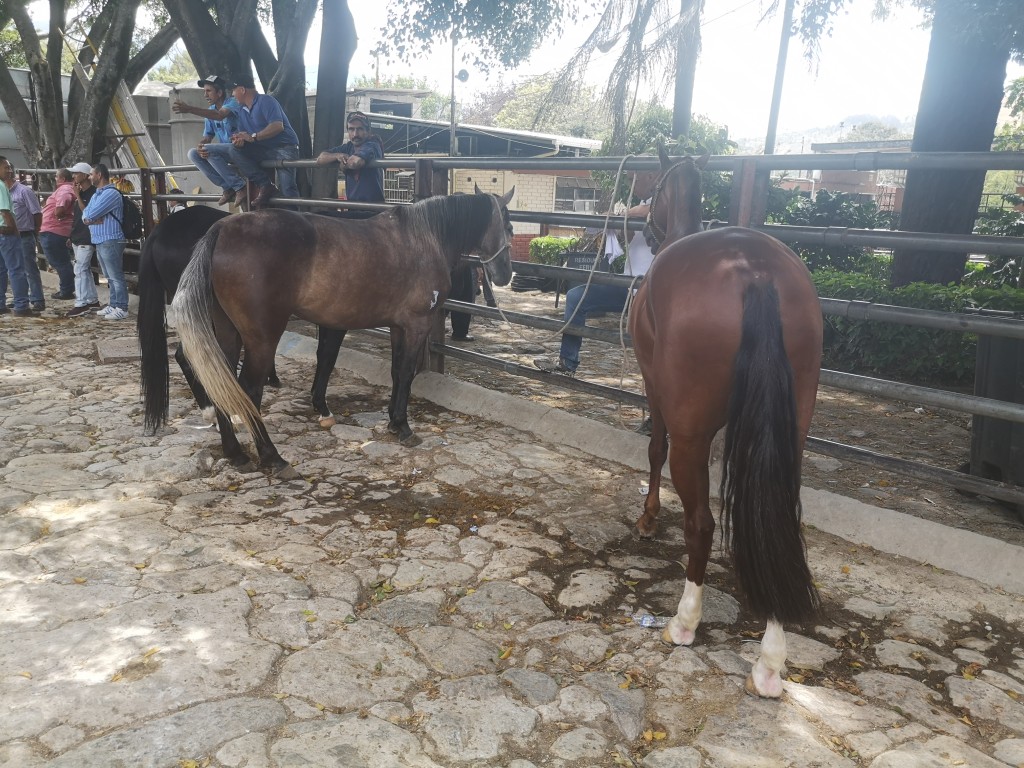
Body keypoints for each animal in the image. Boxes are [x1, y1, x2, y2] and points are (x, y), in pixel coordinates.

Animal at [137, 205, 346, 434]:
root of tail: (159, 231)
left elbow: (321, 353)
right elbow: (327, 356)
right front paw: (321, 406)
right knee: (187, 356)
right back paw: (214, 411)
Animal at [171, 188, 515, 477]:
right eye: (509, 227)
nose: (505, 275)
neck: (423, 238)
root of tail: (221, 229)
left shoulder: (397, 325)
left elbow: (395, 371)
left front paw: (393, 421)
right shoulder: (417, 324)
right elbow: (406, 373)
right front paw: (404, 428)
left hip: (227, 334)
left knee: (222, 382)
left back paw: (235, 453)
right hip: (262, 339)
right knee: (249, 391)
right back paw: (273, 458)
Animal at [628, 148, 823, 698]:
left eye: (655, 185)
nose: (644, 223)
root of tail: (754, 271)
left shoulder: (656, 391)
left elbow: (654, 449)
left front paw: (649, 518)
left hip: (692, 434)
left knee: (702, 523)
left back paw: (684, 623)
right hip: (791, 432)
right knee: (777, 525)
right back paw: (770, 662)